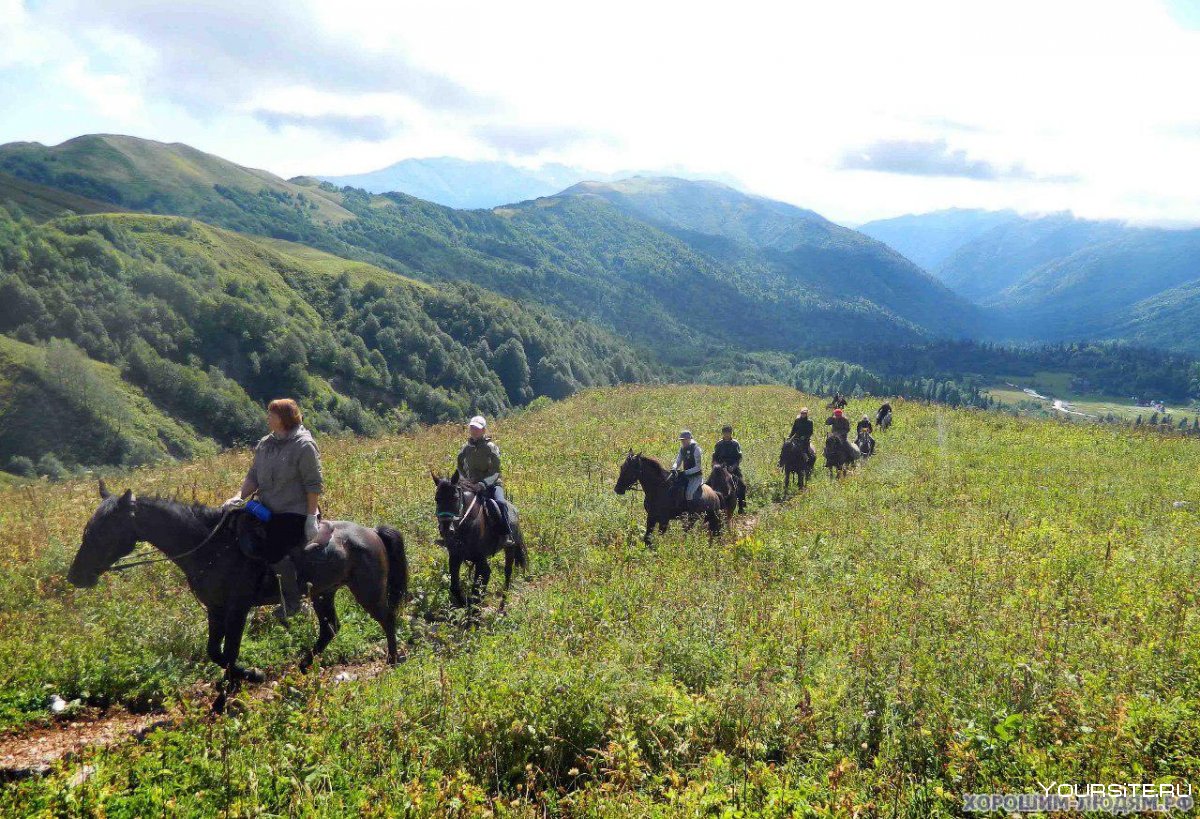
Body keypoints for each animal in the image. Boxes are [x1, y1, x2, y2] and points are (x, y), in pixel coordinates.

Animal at [69, 477, 408, 701]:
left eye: (103, 531)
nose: (76, 577)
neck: (210, 547)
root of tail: (372, 532)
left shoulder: (237, 608)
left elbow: (229, 651)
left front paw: (236, 688)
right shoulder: (215, 609)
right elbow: (214, 652)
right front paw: (240, 679)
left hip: (367, 589)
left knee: (387, 617)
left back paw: (392, 660)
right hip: (324, 592)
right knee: (330, 629)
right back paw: (303, 666)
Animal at [432, 473, 525, 605]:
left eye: (455, 498)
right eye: (437, 499)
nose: (445, 529)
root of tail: (514, 510)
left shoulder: (480, 558)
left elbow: (477, 588)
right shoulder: (455, 556)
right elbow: (455, 587)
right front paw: (463, 603)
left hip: (510, 548)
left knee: (507, 573)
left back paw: (503, 604)